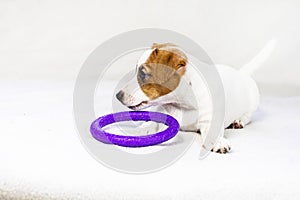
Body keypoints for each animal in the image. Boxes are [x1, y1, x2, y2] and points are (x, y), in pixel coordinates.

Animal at [116, 40, 276, 153]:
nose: (118, 95)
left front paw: (218, 142)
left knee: (247, 116)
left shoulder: (210, 120)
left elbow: (212, 132)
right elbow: (151, 122)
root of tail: (241, 72)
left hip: (252, 102)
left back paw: (238, 121)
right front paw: (141, 130)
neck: (181, 103)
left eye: (143, 74)